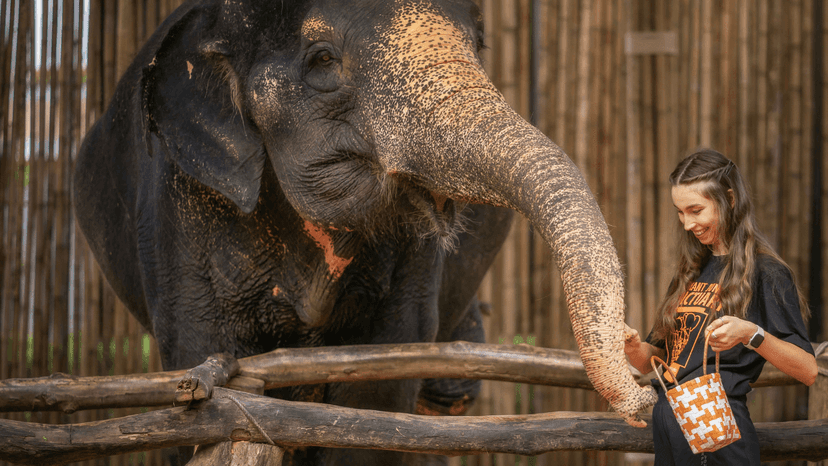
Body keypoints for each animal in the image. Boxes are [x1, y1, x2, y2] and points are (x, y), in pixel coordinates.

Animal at [72, 0, 656, 463]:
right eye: (322, 60)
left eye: (478, 45)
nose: (645, 390)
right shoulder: (177, 206)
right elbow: (200, 366)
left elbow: (385, 376)